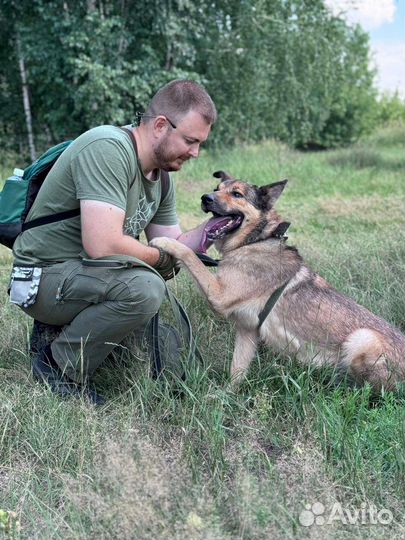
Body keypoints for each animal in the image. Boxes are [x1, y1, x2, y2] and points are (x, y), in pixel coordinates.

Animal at [151, 172, 404, 388]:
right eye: (216, 189)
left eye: (237, 194)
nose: (205, 198)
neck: (256, 240)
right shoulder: (247, 332)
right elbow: (237, 371)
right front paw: (226, 397)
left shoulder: (219, 295)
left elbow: (189, 254)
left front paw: (164, 242)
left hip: (362, 339)